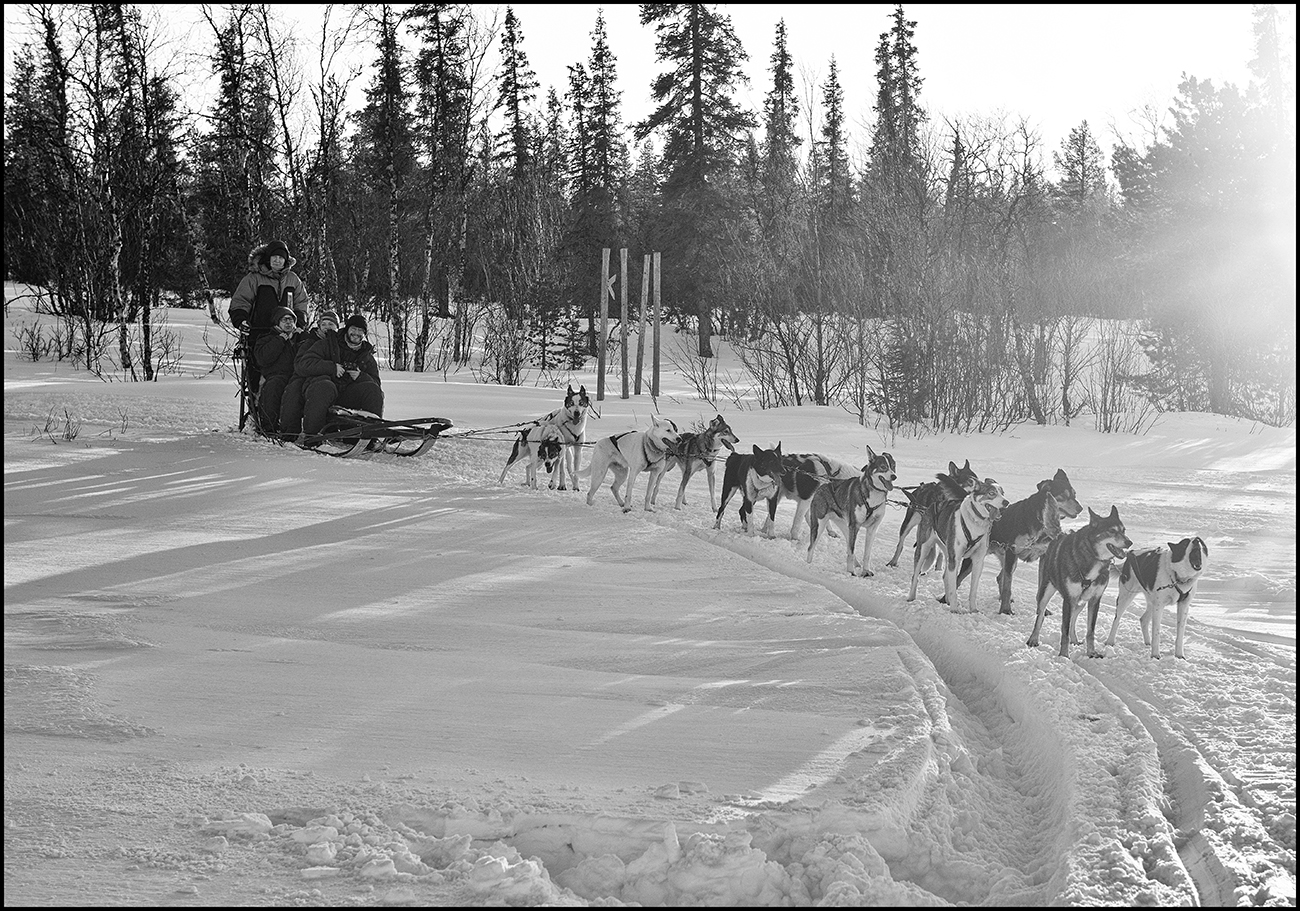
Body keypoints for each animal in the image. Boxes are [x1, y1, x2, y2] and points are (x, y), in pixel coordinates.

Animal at [909, 475, 1008, 610]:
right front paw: (955, 610)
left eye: (1003, 493)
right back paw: (911, 598)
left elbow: (972, 590)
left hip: (948, 552)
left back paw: (948, 601)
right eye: (992, 493)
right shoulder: (955, 558)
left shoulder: (977, 561)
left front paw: (973, 610)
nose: (1006, 502)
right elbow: (953, 587)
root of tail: (933, 505)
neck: (975, 523)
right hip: (924, 548)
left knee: (946, 577)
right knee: (916, 575)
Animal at [951, 467, 1081, 610]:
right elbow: (1007, 586)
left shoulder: (1043, 556)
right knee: (958, 579)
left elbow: (1040, 587)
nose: (1080, 508)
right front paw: (1005, 610)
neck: (1039, 520)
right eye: (1063, 496)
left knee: (999, 577)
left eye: (1074, 494)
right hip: (976, 559)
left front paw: (1043, 610)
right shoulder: (1012, 552)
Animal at [1024, 504, 1128, 660]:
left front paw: (1091, 653)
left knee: (1073, 619)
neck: (1093, 559)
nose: (1129, 542)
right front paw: (1063, 656)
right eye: (1111, 530)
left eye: (1124, 530)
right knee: (1040, 615)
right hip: (1046, 593)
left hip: (1080, 602)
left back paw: (1074, 640)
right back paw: (1034, 639)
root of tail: (1059, 535)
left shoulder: (1094, 600)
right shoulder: (1068, 599)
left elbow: (1090, 631)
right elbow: (1064, 631)